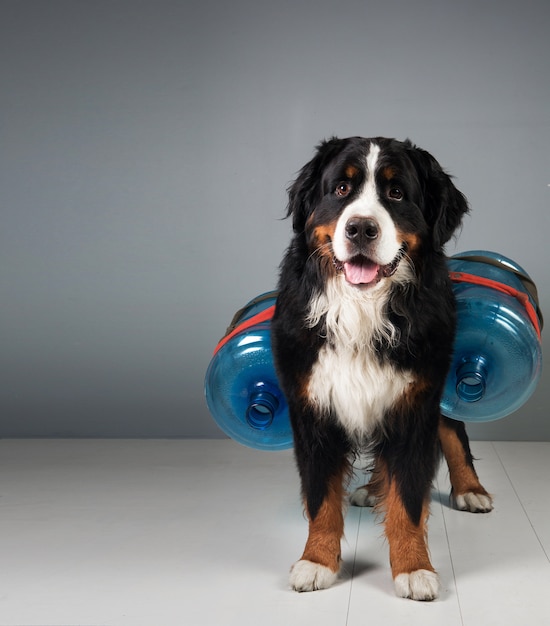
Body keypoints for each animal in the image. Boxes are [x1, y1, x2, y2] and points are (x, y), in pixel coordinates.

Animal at [274, 136, 494, 600]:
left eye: (396, 193)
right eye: (341, 189)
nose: (360, 228)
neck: (362, 310)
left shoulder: (416, 405)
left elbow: (408, 499)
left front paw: (413, 567)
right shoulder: (311, 410)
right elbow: (321, 498)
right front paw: (317, 561)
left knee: (453, 431)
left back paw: (470, 489)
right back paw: (371, 491)